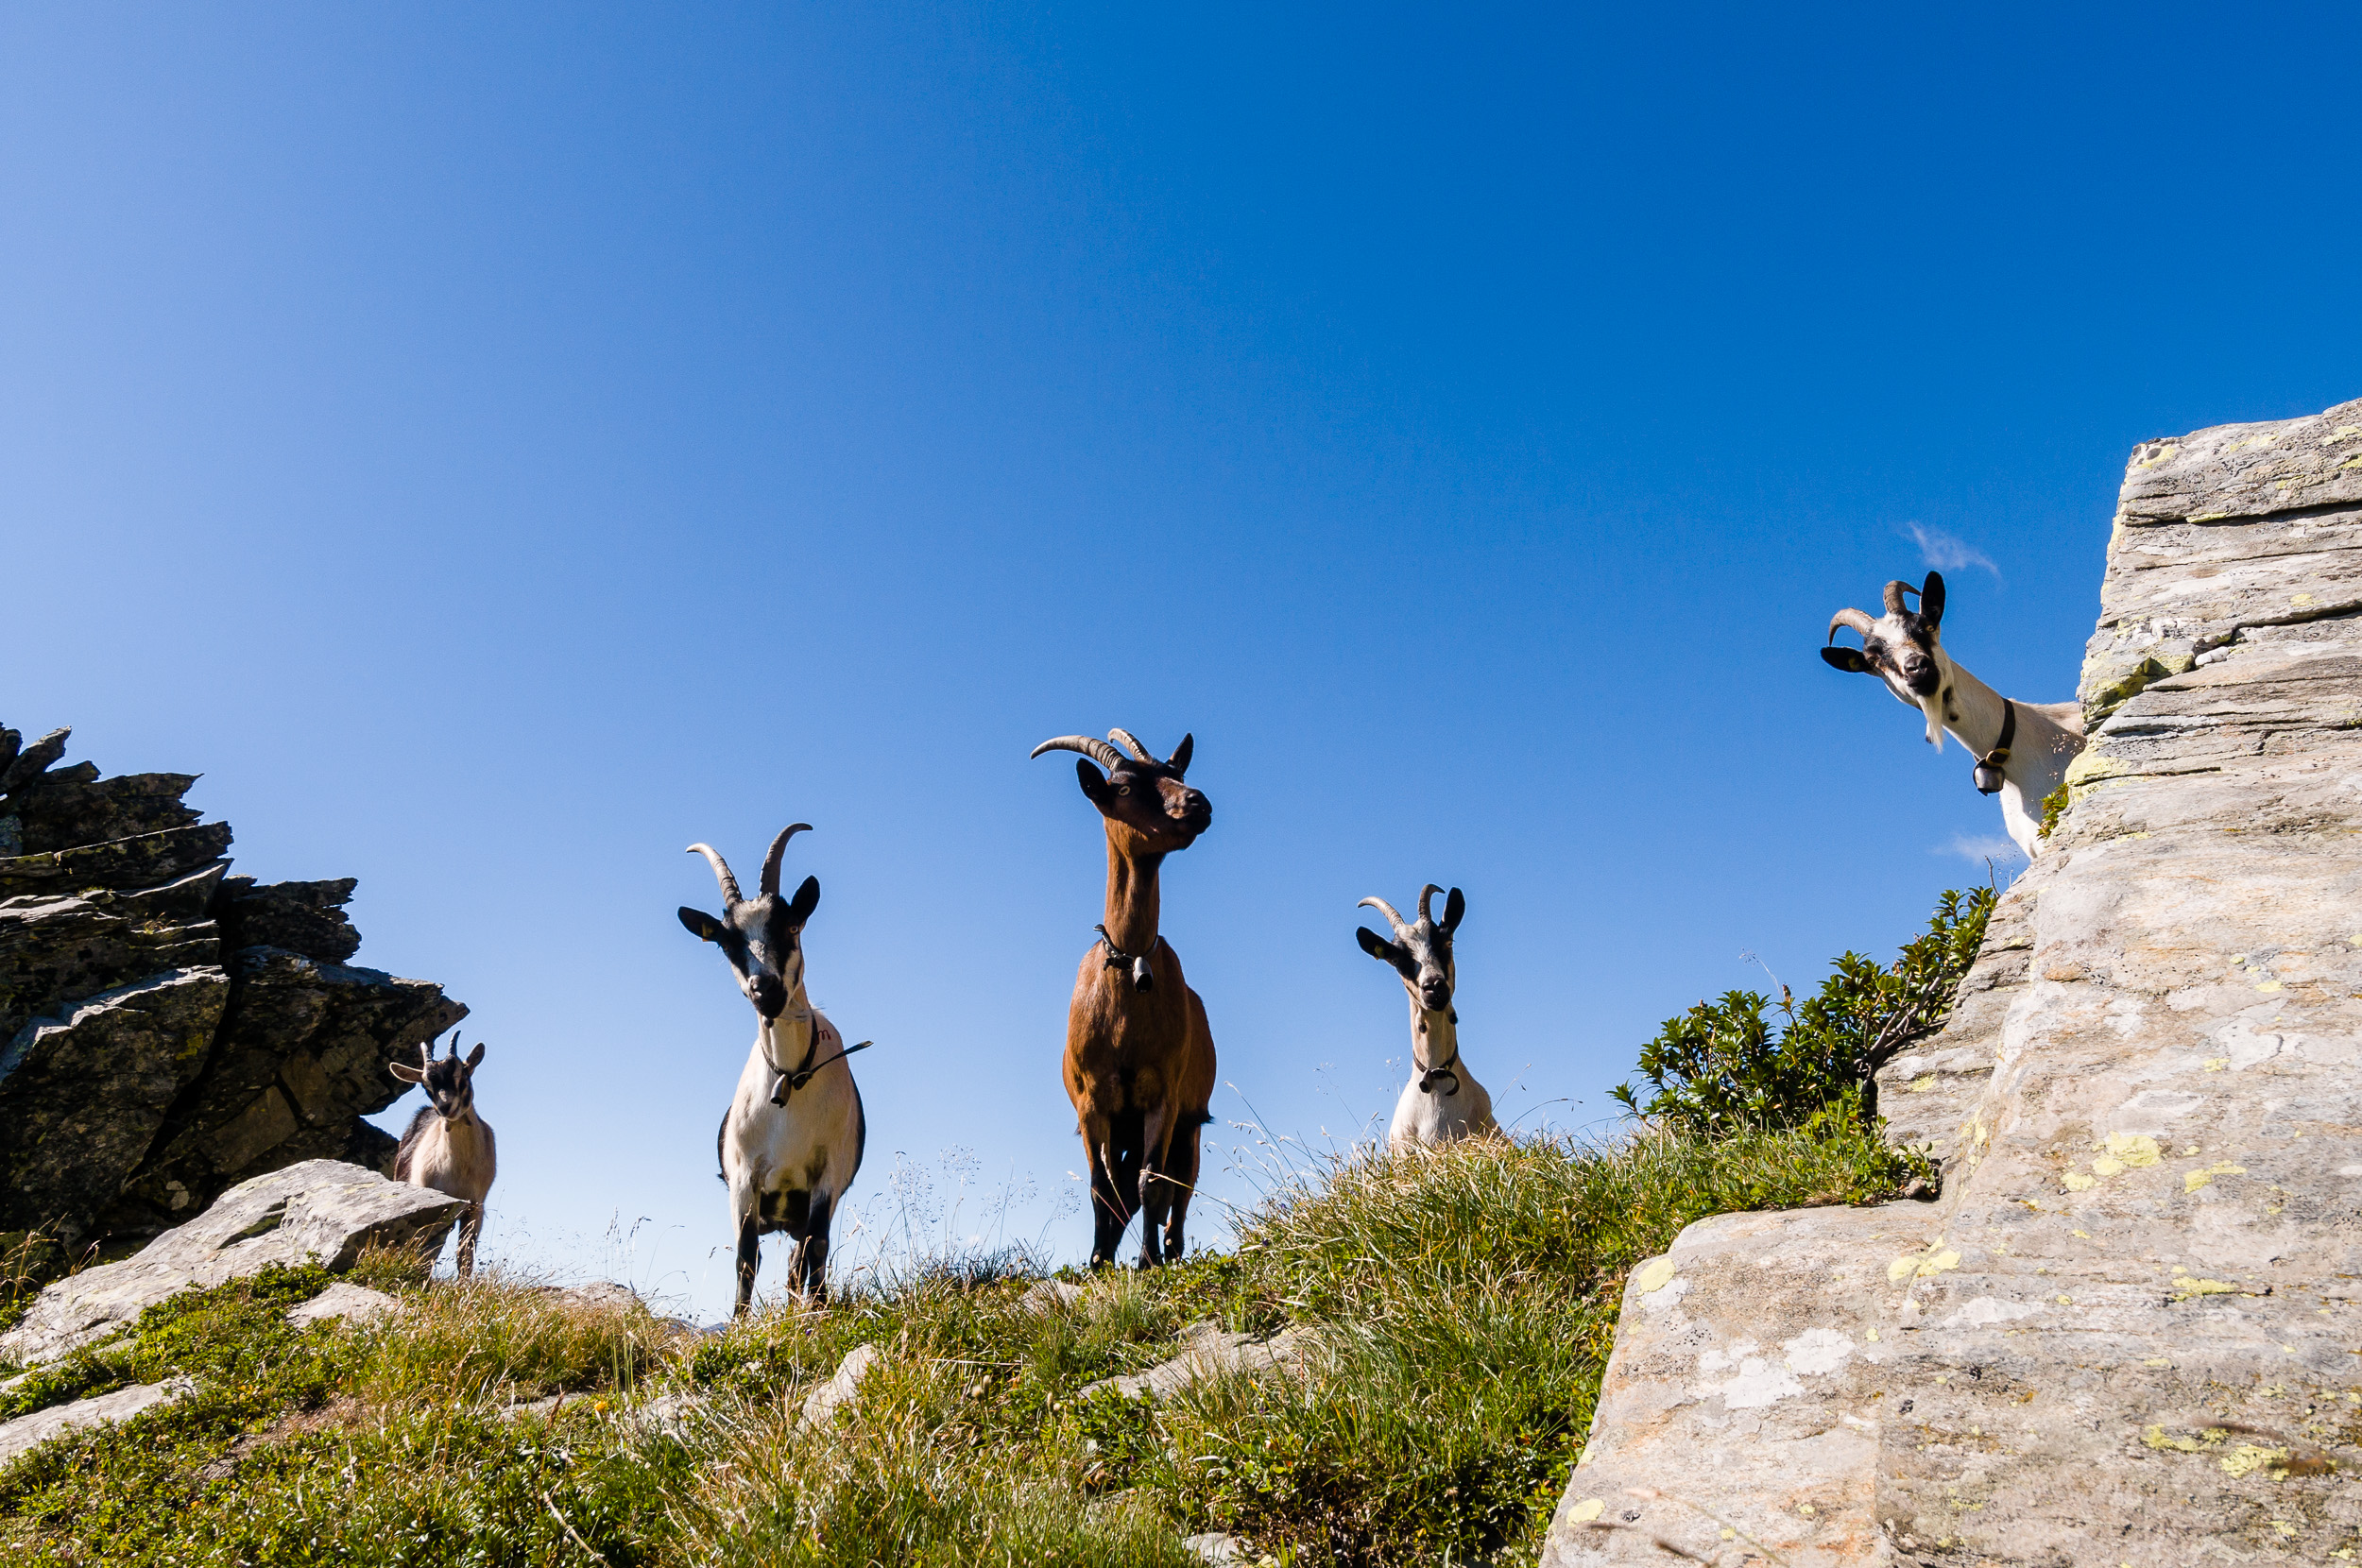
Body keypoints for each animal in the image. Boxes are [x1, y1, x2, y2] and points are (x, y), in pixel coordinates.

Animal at [388, 1032, 497, 1275]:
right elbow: (425, 1252)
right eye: (425, 1086)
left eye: (463, 1074)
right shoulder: (431, 1203)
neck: (459, 1169)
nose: (447, 1107)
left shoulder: (475, 1205)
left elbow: (465, 1255)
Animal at [678, 824, 866, 1314]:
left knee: (802, 1258)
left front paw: (818, 1316)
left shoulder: (827, 1175)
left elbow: (817, 1250)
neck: (790, 1077)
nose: (765, 990)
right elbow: (746, 1256)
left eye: (792, 925)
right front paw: (740, 1323)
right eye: (726, 942)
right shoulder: (745, 1178)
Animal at [1030, 727, 1217, 1269]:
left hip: (1191, 1120)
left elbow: (1150, 1183)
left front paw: (1148, 1260)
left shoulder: (1165, 1095)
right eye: (1124, 788)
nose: (1196, 802)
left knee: (1179, 1183)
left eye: (1175, 772)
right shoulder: (1093, 1102)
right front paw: (1099, 1262)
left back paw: (1170, 1248)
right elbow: (1103, 1186)